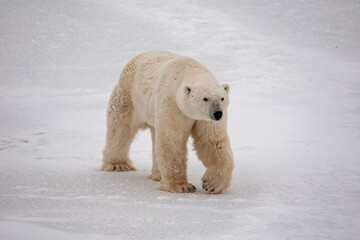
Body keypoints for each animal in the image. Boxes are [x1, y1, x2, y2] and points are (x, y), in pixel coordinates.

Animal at [102, 50, 235, 193]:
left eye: (222, 98)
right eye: (205, 98)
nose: (217, 113)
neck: (190, 70)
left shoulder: (205, 120)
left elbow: (212, 142)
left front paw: (211, 184)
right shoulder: (172, 104)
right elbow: (172, 140)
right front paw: (182, 186)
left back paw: (158, 175)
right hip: (129, 96)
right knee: (120, 129)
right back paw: (118, 165)